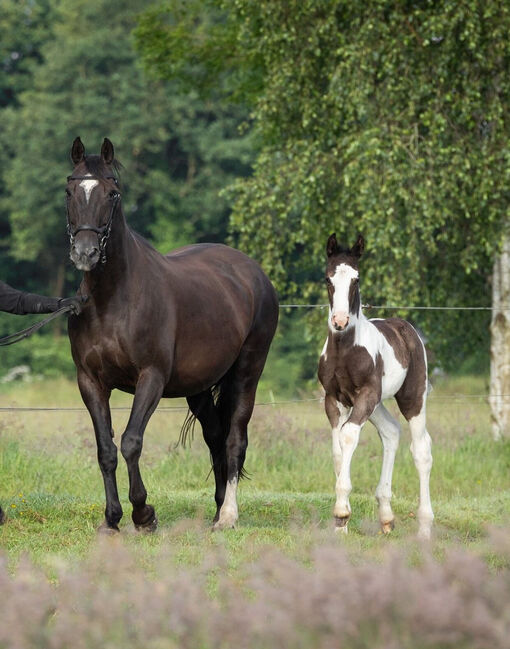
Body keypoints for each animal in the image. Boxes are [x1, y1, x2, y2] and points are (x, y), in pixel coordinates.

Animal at [65, 138, 278, 532]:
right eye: (69, 190)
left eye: (113, 193)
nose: (85, 253)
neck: (112, 299)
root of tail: (253, 273)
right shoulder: (90, 381)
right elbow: (106, 449)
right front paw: (112, 519)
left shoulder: (152, 377)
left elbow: (131, 441)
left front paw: (143, 513)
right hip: (199, 387)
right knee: (215, 437)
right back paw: (217, 508)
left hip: (247, 374)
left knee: (235, 440)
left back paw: (228, 516)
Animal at [318, 233, 434, 536]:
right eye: (328, 279)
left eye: (356, 279)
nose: (340, 320)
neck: (345, 350)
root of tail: (407, 328)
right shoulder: (334, 398)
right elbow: (337, 450)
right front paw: (341, 525)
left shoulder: (366, 394)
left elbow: (348, 436)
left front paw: (342, 512)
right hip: (377, 403)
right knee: (392, 432)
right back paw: (386, 516)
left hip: (412, 398)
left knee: (421, 449)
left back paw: (425, 527)